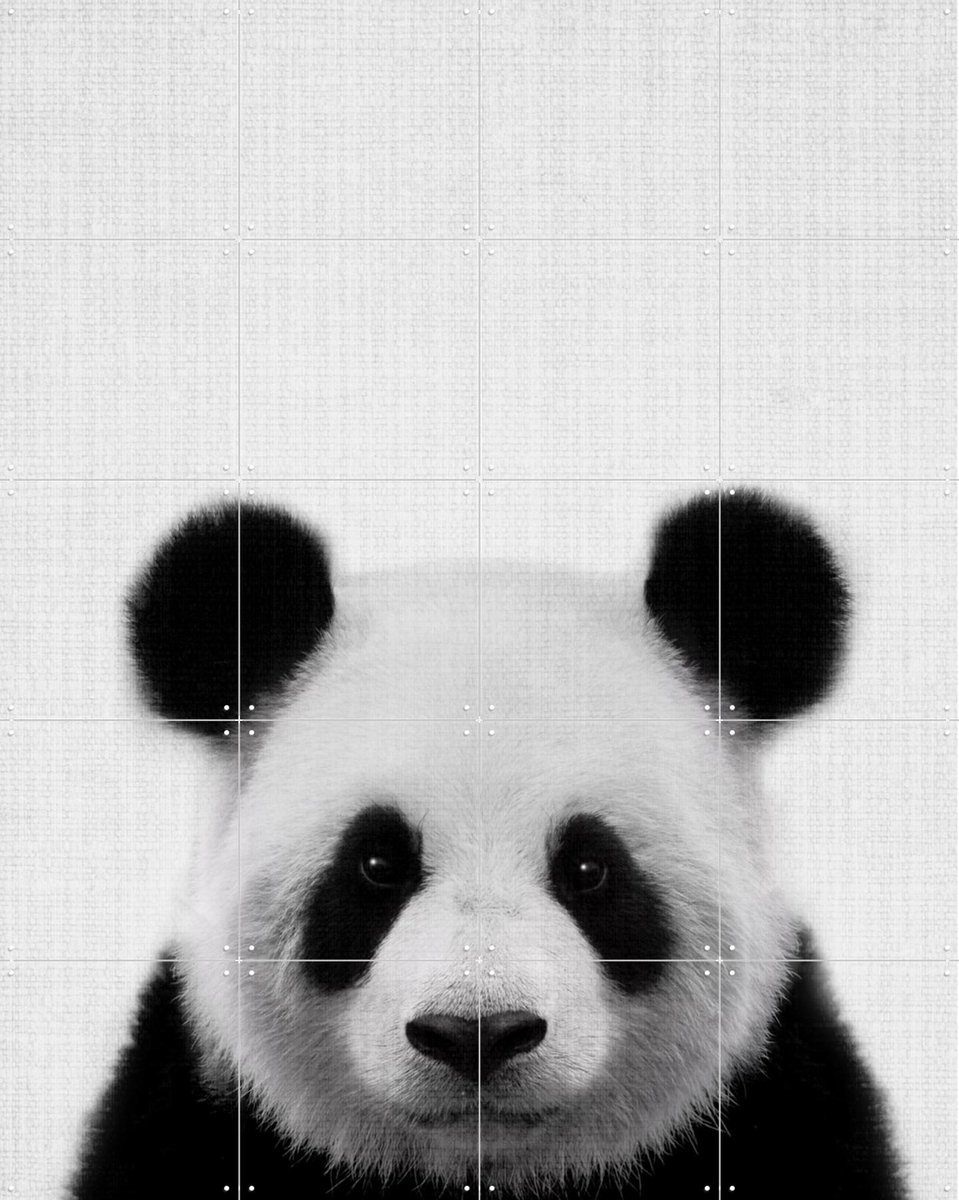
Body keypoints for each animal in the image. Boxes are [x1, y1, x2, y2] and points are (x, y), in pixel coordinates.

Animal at [71, 489, 906, 1199]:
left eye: (588, 868)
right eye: (377, 865)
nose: (476, 1035)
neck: (479, 1173)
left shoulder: (783, 1107)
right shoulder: (195, 1119)